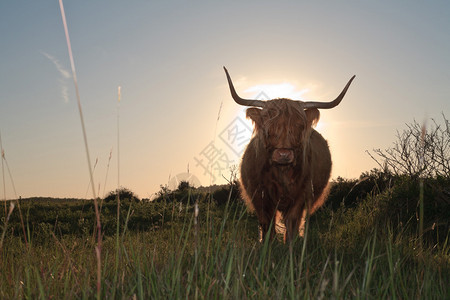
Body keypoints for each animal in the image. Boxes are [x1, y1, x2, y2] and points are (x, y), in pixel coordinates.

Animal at [225, 67, 356, 243]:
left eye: (299, 126)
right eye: (268, 126)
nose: (283, 154)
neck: (281, 173)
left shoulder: (301, 196)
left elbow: (292, 223)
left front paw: (290, 246)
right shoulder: (260, 197)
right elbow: (267, 225)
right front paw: (266, 246)